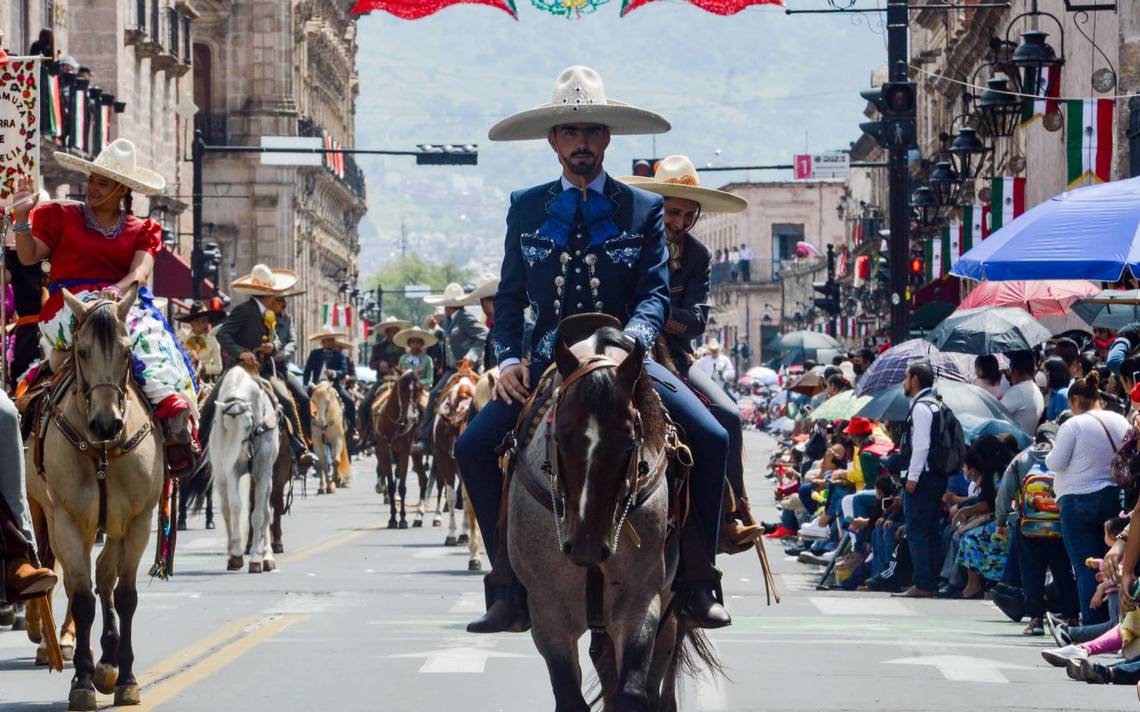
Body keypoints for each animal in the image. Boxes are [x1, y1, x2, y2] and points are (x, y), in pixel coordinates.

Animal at [210, 366, 281, 571]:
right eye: (225, 426)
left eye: (249, 422)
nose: (242, 454)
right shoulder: (231, 471)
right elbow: (235, 506)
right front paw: (236, 555)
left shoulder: (263, 472)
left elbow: (258, 515)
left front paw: (256, 558)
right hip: (221, 477)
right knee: (226, 509)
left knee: (266, 512)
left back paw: (267, 556)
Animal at [371, 371, 428, 528]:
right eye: (402, 390)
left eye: (418, 390)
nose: (410, 418)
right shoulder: (384, 453)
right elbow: (391, 486)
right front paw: (392, 519)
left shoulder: (404, 454)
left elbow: (402, 487)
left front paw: (402, 519)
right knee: (423, 479)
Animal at [510, 323, 720, 710]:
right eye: (560, 437)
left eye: (628, 442)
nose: (586, 547)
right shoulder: (547, 611)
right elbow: (569, 695)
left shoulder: (641, 601)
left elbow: (634, 691)